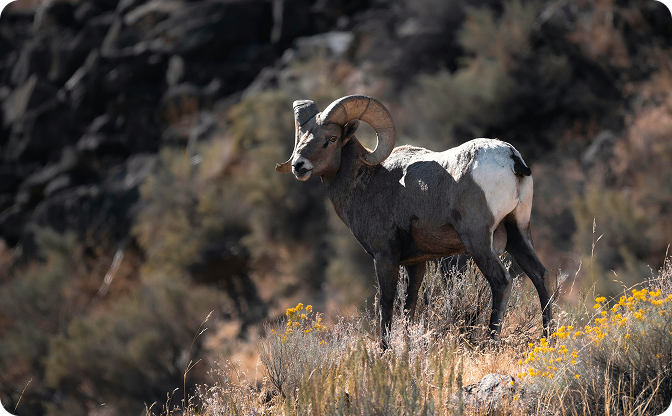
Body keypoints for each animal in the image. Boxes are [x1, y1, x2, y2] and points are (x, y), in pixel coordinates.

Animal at [276, 94, 553, 349]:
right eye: (303, 137)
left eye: (331, 139)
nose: (299, 166)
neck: (367, 179)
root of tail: (511, 158)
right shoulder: (416, 262)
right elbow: (410, 304)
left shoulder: (385, 255)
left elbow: (387, 302)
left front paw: (384, 350)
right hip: (518, 233)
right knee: (540, 274)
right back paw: (547, 337)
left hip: (479, 242)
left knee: (501, 281)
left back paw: (491, 343)